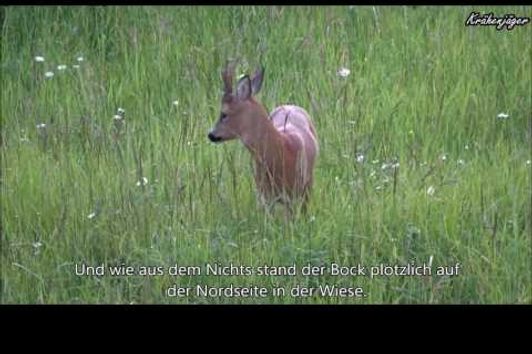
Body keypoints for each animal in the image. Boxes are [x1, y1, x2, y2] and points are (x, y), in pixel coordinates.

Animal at [207, 61, 316, 216]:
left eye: (224, 114)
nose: (211, 134)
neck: (282, 150)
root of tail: (290, 105)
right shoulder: (264, 196)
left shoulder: (299, 191)